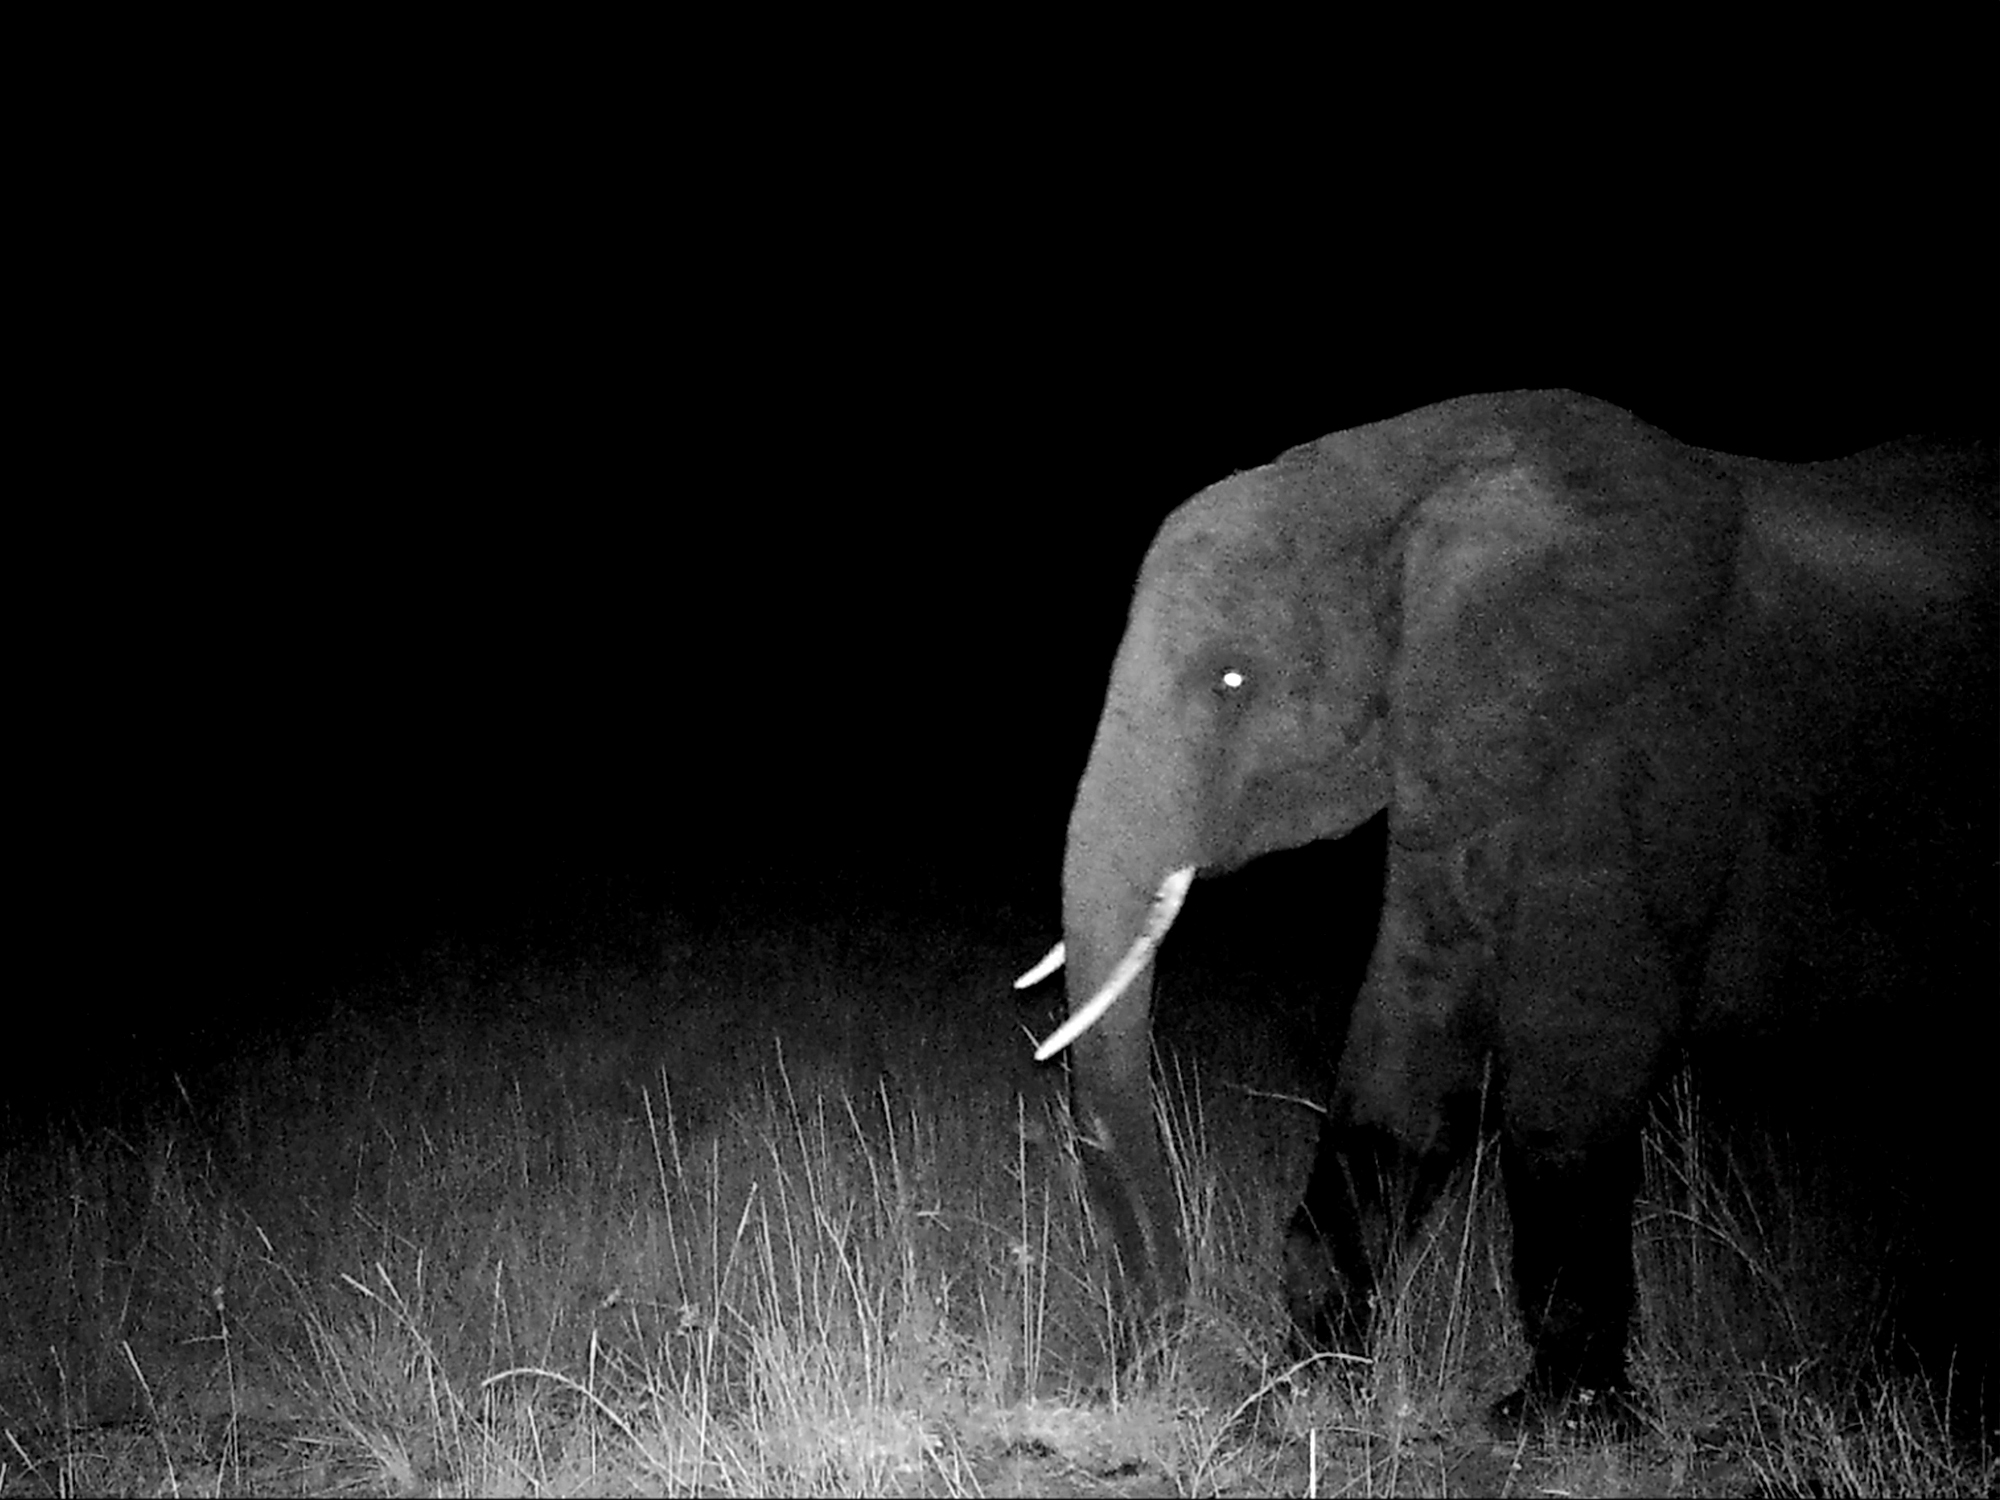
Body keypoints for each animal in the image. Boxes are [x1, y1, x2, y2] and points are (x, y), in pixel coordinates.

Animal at [1018, 390, 1995, 1432]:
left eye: (1232, 680)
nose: (1153, 1353)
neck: (1413, 479)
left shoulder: (1638, 745)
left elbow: (1576, 1061)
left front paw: (1559, 1417)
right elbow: (1410, 1035)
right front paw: (1307, 1383)